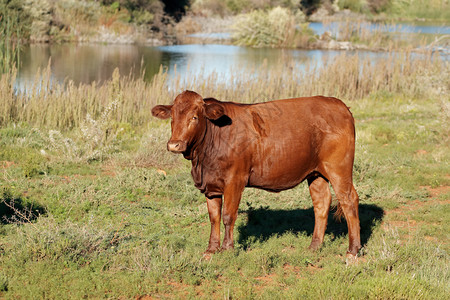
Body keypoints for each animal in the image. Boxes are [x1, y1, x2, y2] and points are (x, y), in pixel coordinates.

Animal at [153, 90, 360, 256]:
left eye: (194, 117)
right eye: (172, 117)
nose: (174, 144)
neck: (202, 160)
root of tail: (339, 105)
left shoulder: (235, 180)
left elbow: (228, 215)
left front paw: (227, 249)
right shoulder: (211, 185)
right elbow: (214, 217)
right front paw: (211, 250)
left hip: (338, 168)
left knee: (349, 200)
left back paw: (353, 251)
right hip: (316, 173)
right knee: (322, 203)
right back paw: (314, 246)